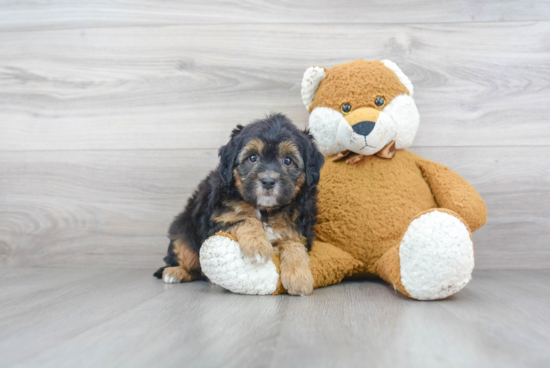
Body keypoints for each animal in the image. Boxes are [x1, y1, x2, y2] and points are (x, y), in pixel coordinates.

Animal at [153, 113, 326, 294]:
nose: (268, 181)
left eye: (287, 160)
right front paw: (258, 245)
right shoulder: (220, 217)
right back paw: (175, 272)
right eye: (252, 158)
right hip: (182, 230)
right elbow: (244, 219)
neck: (266, 209)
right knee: (190, 261)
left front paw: (300, 278)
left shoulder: (299, 229)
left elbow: (294, 245)